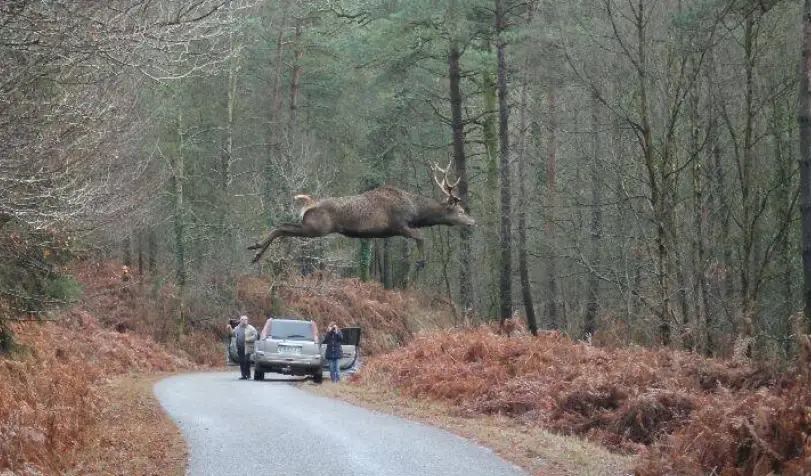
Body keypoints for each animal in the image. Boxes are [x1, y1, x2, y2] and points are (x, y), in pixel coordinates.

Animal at [249, 162, 476, 266]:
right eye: (460, 210)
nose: (473, 222)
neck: (415, 211)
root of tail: (309, 204)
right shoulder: (398, 224)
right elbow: (421, 237)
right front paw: (421, 262)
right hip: (316, 227)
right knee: (283, 227)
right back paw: (256, 248)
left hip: (311, 226)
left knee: (284, 227)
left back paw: (256, 251)